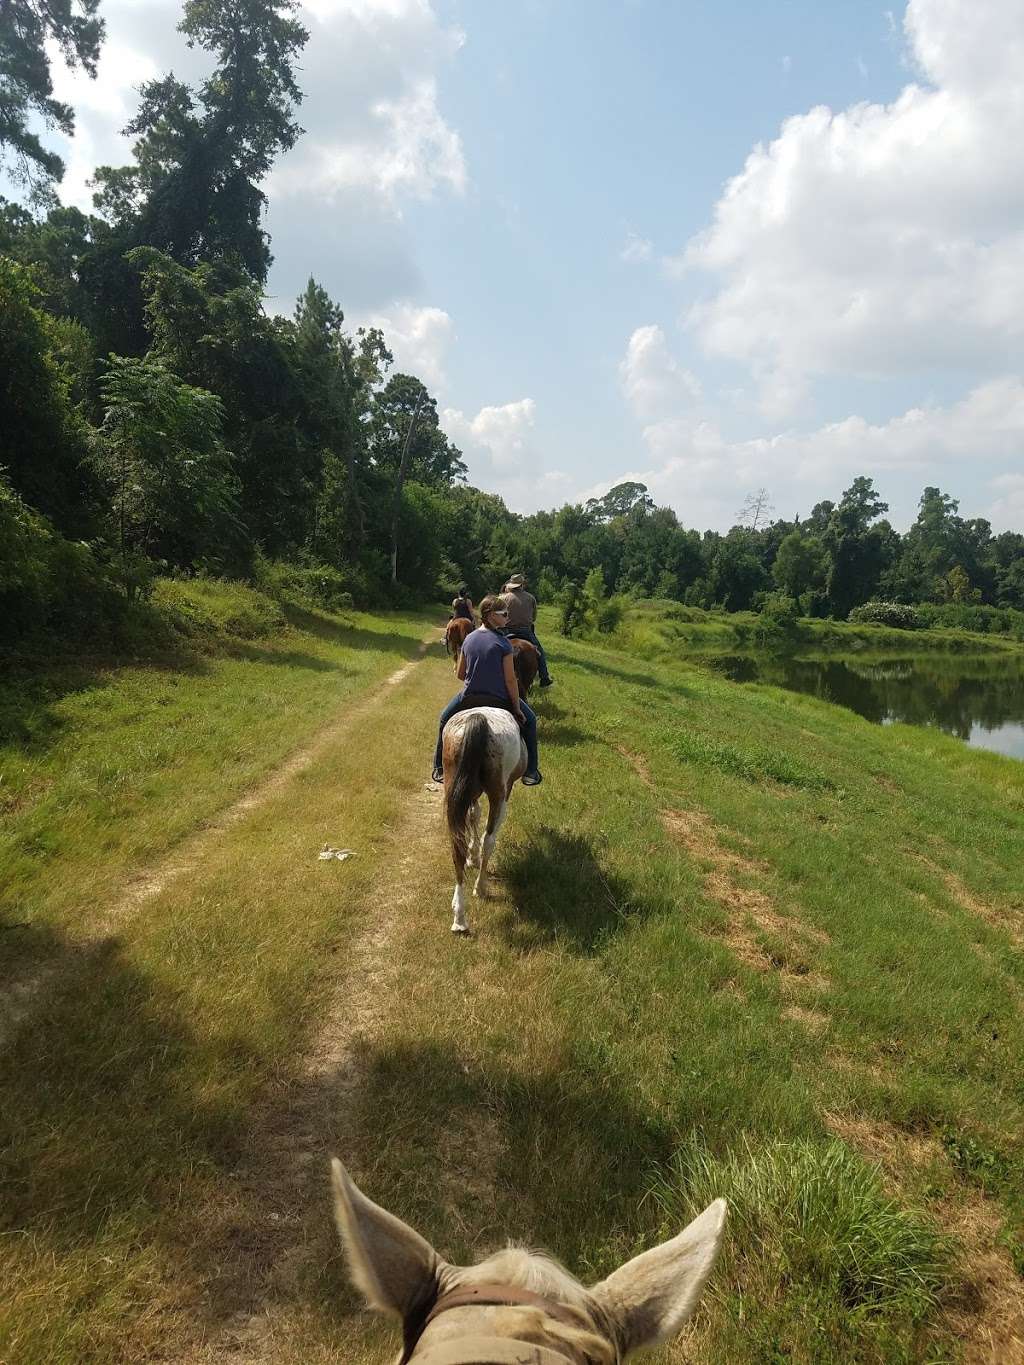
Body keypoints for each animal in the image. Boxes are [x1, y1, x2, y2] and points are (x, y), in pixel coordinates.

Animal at [442, 704, 524, 939]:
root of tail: (478, 719)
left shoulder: (469, 792)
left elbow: (473, 814)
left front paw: (472, 855)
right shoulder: (504, 790)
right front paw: (475, 855)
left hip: (453, 786)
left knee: (456, 847)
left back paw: (459, 917)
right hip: (499, 794)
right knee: (490, 840)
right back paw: (480, 888)